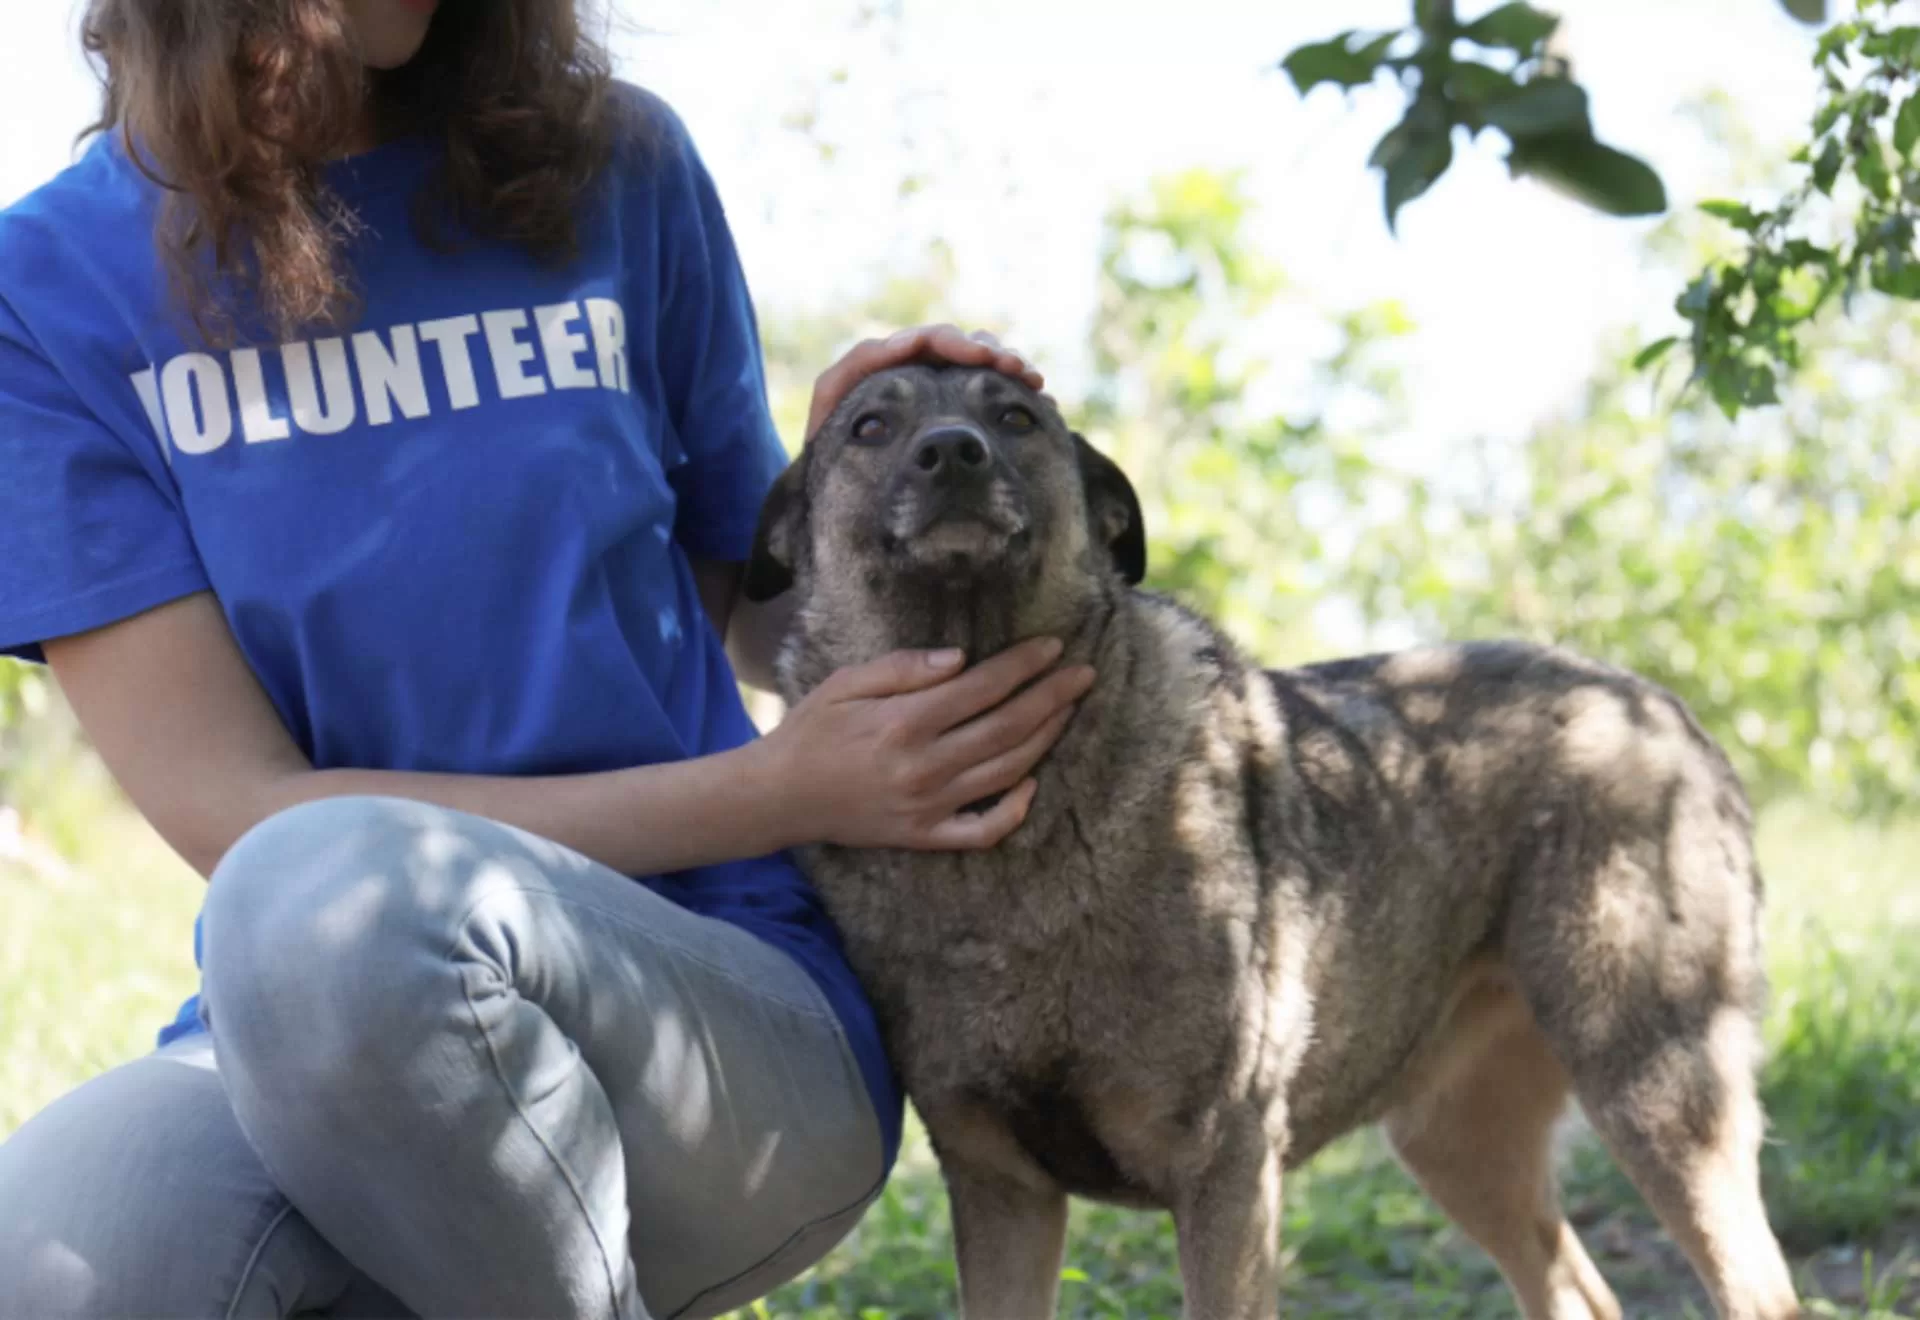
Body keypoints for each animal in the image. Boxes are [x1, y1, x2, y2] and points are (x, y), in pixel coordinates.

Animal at [741, 362, 1804, 1320]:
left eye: (1014, 418)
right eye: (871, 428)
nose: (953, 452)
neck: (1011, 821)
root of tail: (1655, 705)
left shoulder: (1225, 1172)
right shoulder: (1000, 1189)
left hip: (1658, 1094)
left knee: (1761, 1291)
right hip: (1461, 1142)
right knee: (1581, 1292)